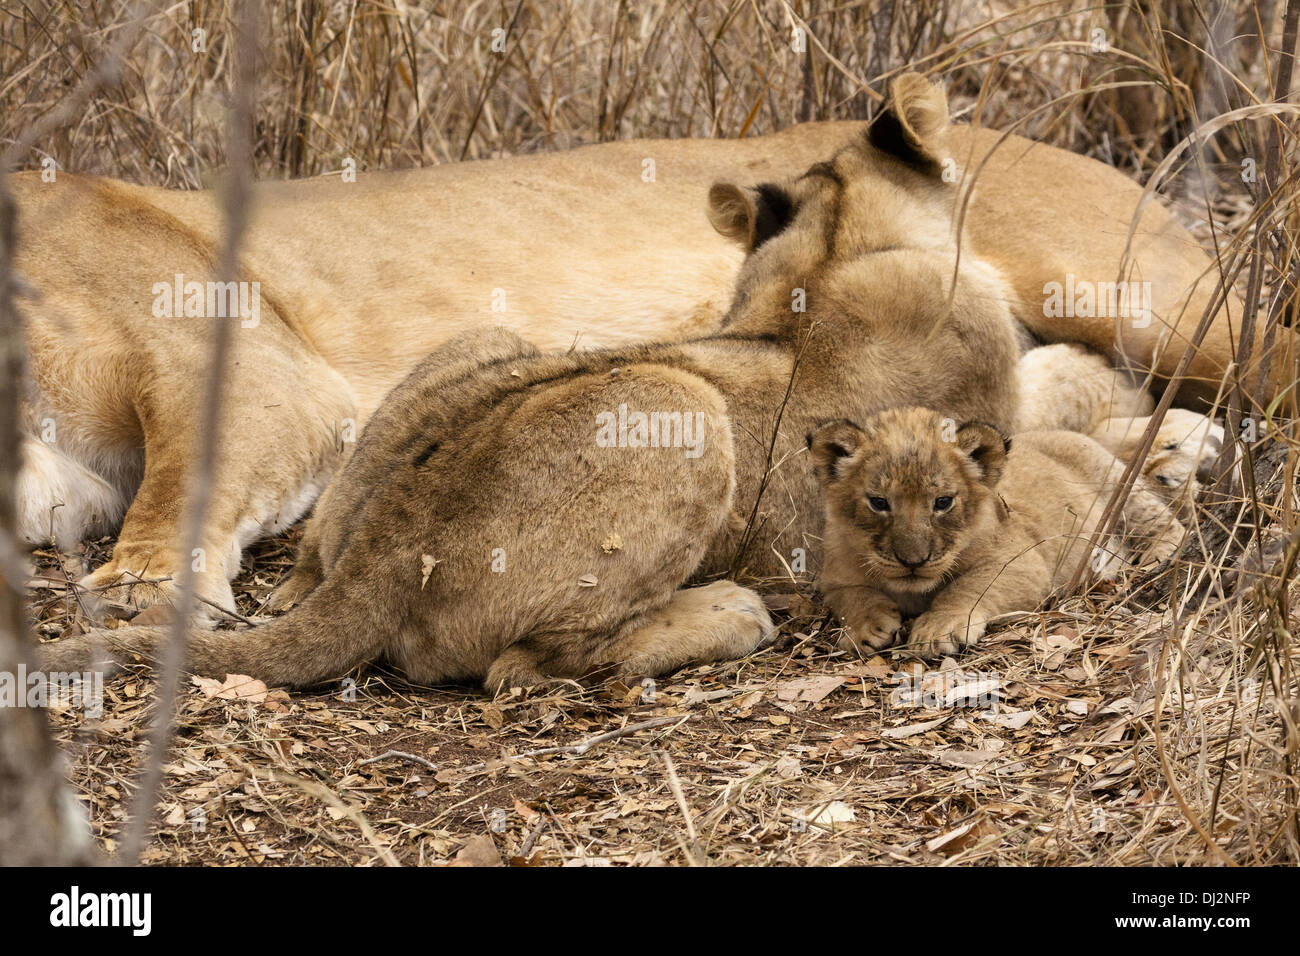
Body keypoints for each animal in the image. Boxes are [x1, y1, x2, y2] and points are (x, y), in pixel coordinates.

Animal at [810, 407, 1185, 659]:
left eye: (942, 502)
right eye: (878, 503)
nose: (913, 561)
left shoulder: (1023, 562)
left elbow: (970, 586)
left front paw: (939, 627)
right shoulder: (834, 576)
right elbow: (852, 596)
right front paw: (865, 626)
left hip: (1119, 484)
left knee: (1168, 521)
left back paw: (1158, 557)